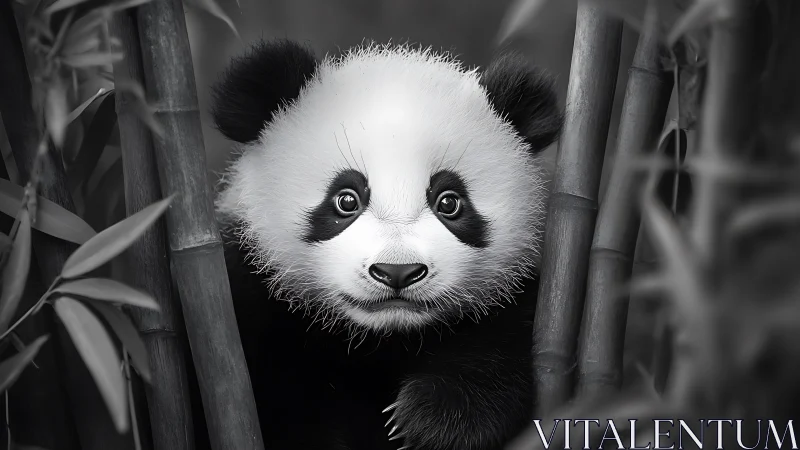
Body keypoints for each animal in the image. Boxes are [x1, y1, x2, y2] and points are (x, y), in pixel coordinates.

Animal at [210, 39, 563, 450]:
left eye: (449, 202)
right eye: (346, 200)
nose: (397, 272)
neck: (378, 340)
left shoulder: (513, 307)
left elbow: (499, 360)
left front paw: (426, 419)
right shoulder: (245, 293)